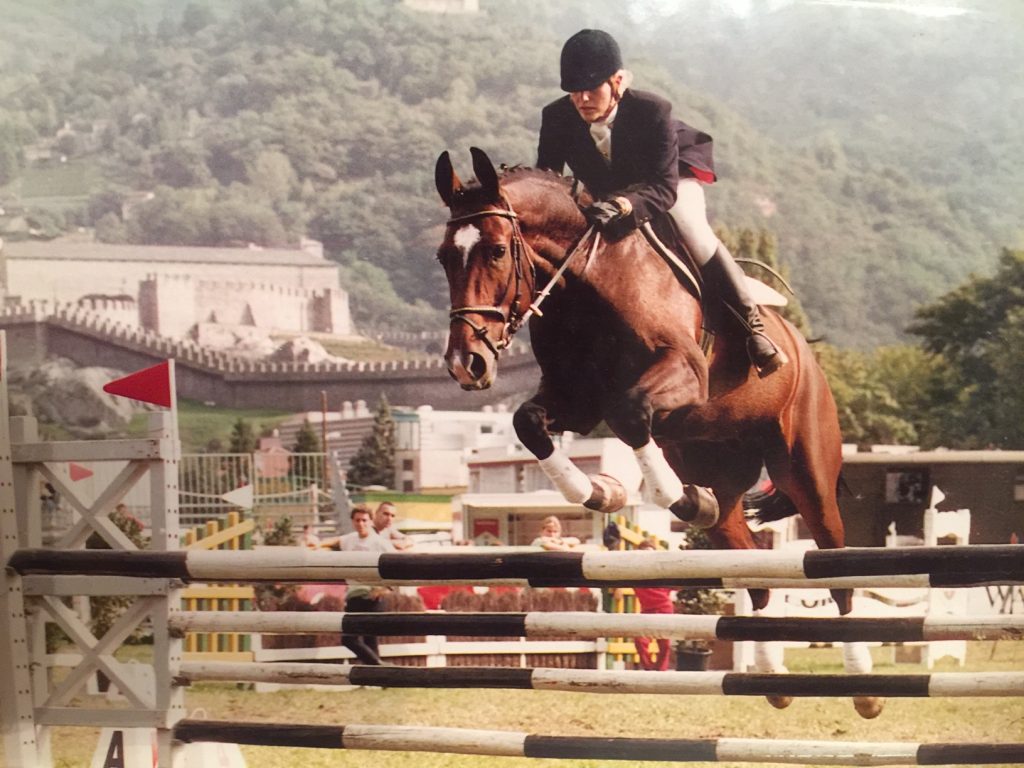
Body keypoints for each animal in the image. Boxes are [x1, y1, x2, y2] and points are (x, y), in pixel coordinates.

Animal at [434, 147, 881, 719]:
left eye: (494, 251)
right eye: (444, 258)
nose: (465, 364)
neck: (589, 281)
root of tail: (806, 350)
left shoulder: (681, 373)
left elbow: (630, 415)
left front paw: (670, 497)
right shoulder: (575, 401)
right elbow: (528, 423)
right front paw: (602, 492)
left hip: (807, 470)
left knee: (834, 567)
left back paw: (864, 686)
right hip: (720, 470)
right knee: (751, 564)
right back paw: (771, 674)